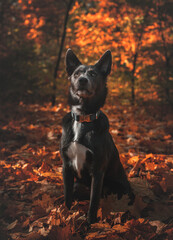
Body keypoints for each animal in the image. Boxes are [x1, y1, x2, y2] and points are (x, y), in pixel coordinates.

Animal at [60, 48, 134, 223]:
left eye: (93, 74)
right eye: (76, 73)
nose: (82, 80)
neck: (83, 117)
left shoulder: (98, 171)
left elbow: (93, 202)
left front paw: (90, 223)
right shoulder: (66, 167)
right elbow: (67, 196)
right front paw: (66, 214)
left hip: (115, 189)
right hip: (78, 185)